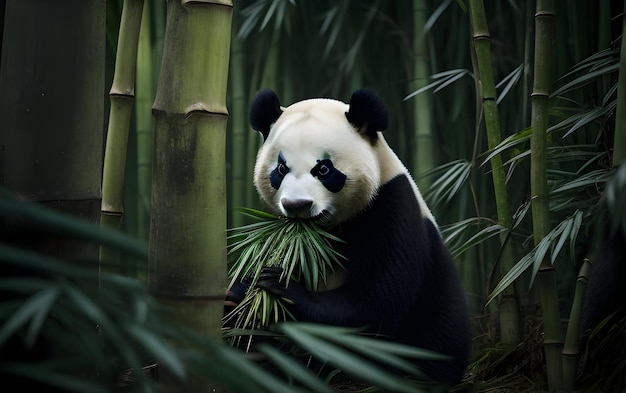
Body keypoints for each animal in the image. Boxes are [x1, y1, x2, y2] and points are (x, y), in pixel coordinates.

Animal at [232, 86, 470, 382]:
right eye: (281, 169)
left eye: (323, 169)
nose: (298, 205)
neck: (329, 230)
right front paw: (246, 286)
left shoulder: (391, 206)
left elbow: (372, 305)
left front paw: (279, 284)